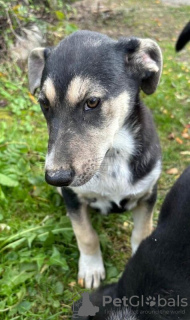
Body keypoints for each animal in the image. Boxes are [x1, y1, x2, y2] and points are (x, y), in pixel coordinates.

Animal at [27, 30, 162, 290]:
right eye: (44, 104)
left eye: (92, 102)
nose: (55, 178)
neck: (112, 156)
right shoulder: (73, 198)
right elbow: (86, 235)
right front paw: (91, 269)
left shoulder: (148, 194)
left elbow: (142, 233)